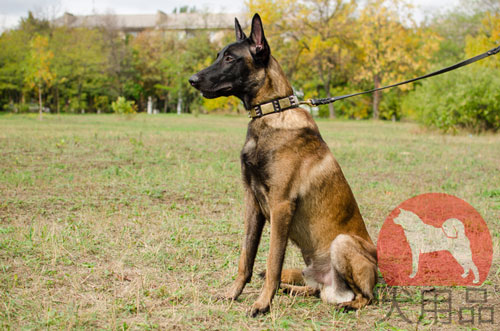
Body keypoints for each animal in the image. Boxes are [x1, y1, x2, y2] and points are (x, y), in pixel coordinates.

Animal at [189, 13, 376, 320]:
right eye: (218, 55)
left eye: (229, 58)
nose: (192, 80)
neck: (271, 111)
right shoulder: (252, 203)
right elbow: (246, 258)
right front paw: (232, 294)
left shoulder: (281, 206)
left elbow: (272, 262)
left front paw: (262, 304)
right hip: (311, 267)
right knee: (315, 291)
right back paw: (294, 290)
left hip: (343, 243)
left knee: (366, 297)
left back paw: (347, 304)